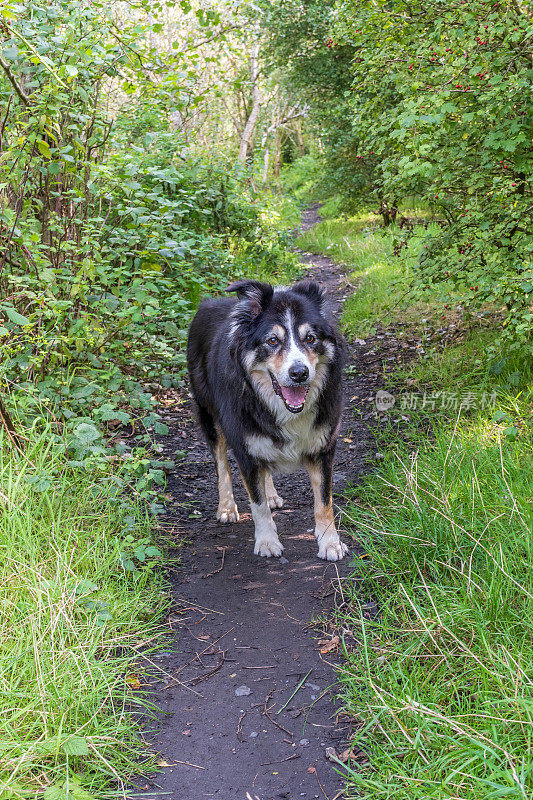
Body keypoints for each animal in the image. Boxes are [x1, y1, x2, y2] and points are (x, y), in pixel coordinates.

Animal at [187, 282, 350, 564]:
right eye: (273, 341)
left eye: (310, 338)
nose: (299, 373)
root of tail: (208, 302)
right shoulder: (245, 447)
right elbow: (257, 502)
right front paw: (266, 541)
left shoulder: (323, 446)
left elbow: (324, 501)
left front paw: (330, 542)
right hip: (209, 414)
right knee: (221, 463)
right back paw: (227, 506)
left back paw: (272, 492)